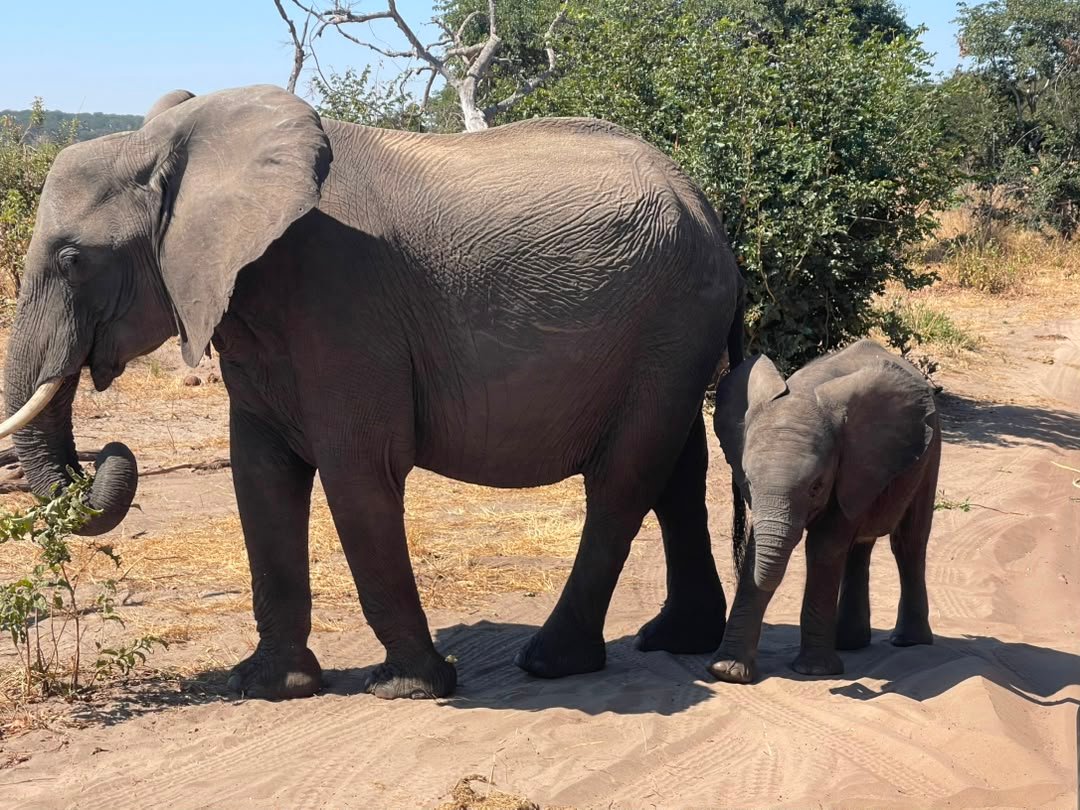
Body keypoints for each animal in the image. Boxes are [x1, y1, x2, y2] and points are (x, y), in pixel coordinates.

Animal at [1, 85, 745, 700]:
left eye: (73, 258)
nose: (112, 451)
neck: (185, 144)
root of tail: (705, 207)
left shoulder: (347, 307)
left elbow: (358, 472)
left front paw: (412, 688)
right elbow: (259, 476)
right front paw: (268, 687)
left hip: (670, 318)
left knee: (623, 480)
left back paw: (549, 662)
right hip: (671, 332)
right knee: (678, 471)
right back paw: (675, 640)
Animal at [707, 339, 940, 684]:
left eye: (816, 487)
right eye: (746, 480)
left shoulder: (849, 465)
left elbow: (824, 546)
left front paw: (814, 672)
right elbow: (756, 547)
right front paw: (728, 673)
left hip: (931, 452)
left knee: (909, 541)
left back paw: (909, 641)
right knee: (860, 546)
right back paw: (849, 643)